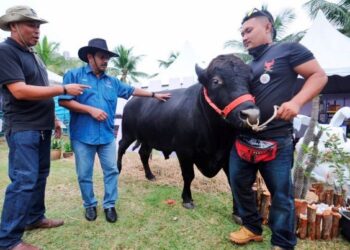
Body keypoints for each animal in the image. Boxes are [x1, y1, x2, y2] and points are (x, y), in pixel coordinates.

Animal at [117, 54, 260, 209]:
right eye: (216, 81)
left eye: (250, 80)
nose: (251, 114)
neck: (216, 136)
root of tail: (132, 100)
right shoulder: (184, 150)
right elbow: (188, 175)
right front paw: (187, 199)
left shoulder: (227, 153)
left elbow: (231, 179)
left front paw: (237, 209)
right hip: (128, 133)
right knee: (121, 147)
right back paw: (118, 169)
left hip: (148, 138)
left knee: (143, 153)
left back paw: (150, 175)